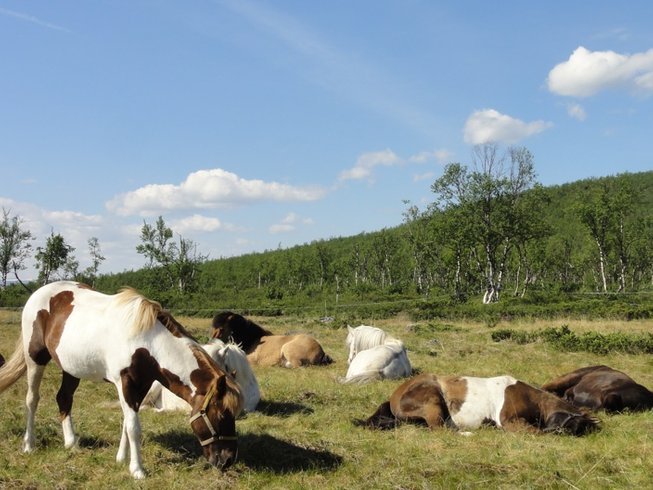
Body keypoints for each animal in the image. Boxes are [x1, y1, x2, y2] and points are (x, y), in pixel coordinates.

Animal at [0, 280, 243, 478]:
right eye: (221, 414)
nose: (228, 460)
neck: (147, 343)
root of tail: (38, 293)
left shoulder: (141, 386)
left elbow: (127, 422)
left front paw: (121, 459)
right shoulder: (125, 384)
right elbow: (134, 426)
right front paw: (137, 470)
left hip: (71, 368)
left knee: (64, 398)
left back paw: (71, 443)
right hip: (35, 358)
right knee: (32, 399)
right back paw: (29, 445)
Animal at [354, 372, 600, 436]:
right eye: (576, 426)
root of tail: (394, 397)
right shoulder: (509, 421)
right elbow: (534, 433)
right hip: (432, 398)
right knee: (440, 430)